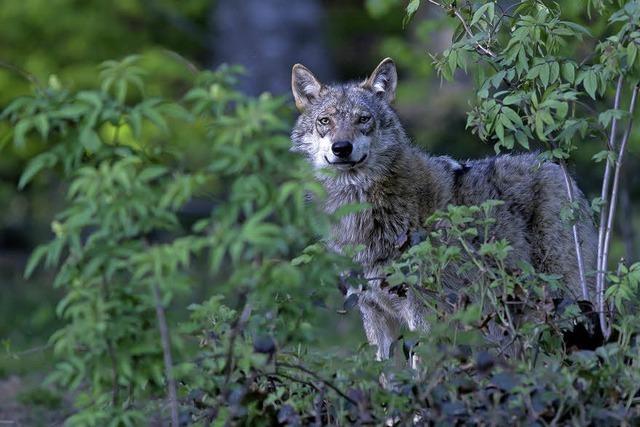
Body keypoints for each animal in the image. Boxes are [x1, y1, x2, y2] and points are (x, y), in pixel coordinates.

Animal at [292, 57, 600, 362]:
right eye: (325, 121)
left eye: (363, 119)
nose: (342, 148)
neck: (359, 211)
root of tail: (557, 167)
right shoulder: (373, 312)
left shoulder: (423, 312)